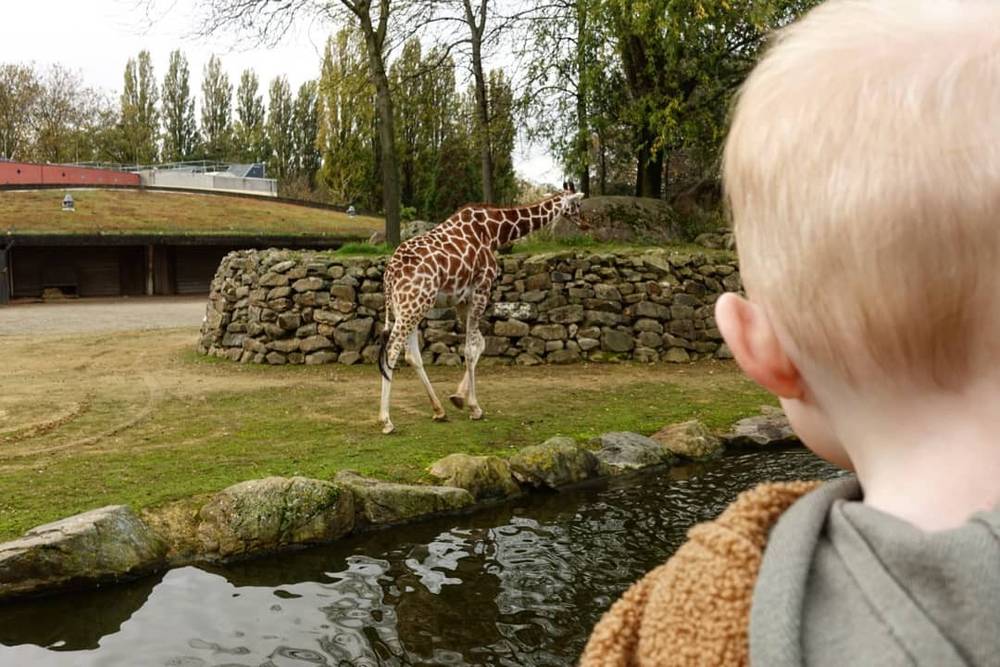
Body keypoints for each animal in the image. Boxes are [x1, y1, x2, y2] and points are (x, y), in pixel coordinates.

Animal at [377, 183, 588, 434]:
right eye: (578, 204)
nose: (586, 223)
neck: (495, 231)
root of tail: (390, 274)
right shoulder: (482, 288)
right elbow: (470, 348)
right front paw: (474, 407)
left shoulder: (462, 299)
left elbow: (480, 344)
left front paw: (458, 398)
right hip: (413, 305)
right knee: (392, 350)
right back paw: (386, 420)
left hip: (410, 307)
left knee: (411, 355)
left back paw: (438, 410)